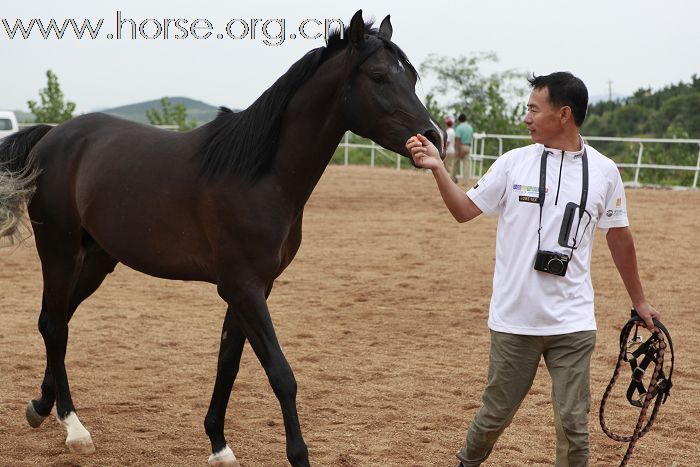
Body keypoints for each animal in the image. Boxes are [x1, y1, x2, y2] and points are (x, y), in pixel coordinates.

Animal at [1, 11, 442, 467]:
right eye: (378, 76)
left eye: (411, 76)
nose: (433, 138)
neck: (260, 176)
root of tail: (53, 135)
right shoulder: (244, 287)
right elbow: (280, 373)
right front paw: (298, 454)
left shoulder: (251, 287)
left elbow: (228, 363)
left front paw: (219, 443)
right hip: (59, 251)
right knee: (55, 326)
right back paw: (74, 428)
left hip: (98, 258)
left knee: (55, 321)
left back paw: (42, 406)